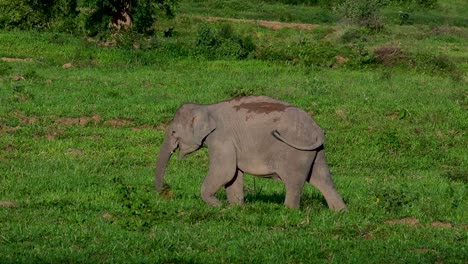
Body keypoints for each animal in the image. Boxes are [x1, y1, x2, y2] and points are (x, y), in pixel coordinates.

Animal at [154, 95, 348, 210]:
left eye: (173, 132)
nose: (164, 193)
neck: (206, 107)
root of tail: (317, 130)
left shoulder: (221, 138)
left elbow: (224, 171)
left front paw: (217, 205)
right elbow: (233, 176)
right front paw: (236, 208)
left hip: (295, 151)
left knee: (294, 182)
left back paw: (289, 211)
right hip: (314, 151)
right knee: (322, 179)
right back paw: (340, 212)